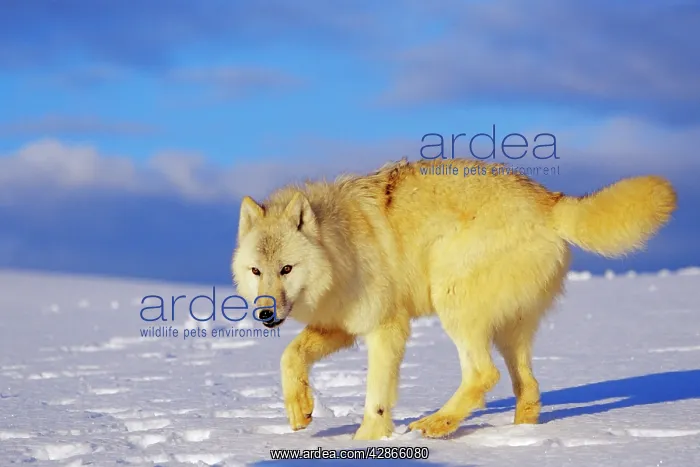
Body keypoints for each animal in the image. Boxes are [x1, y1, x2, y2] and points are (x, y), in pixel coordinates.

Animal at [231, 157, 677, 440]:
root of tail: (550, 199)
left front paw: (367, 441)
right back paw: (519, 438)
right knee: (527, 385)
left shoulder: (386, 327)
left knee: (484, 374)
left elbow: (376, 396)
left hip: (452, 301)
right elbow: (290, 356)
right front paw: (300, 410)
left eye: (286, 269)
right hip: (511, 330)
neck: (342, 245)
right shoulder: (340, 326)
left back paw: (437, 424)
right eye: (256, 272)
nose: (265, 313)